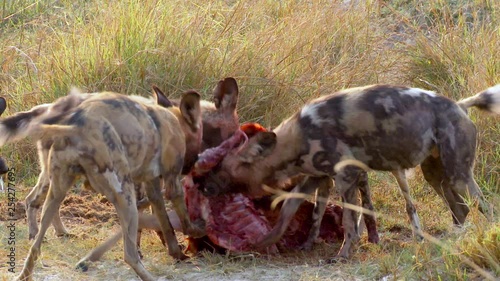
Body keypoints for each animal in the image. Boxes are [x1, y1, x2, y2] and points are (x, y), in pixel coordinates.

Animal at [0, 90, 205, 280]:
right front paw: (194, 232)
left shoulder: (152, 185)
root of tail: (76, 127)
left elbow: (163, 222)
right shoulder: (171, 182)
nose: (196, 162)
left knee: (36, 239)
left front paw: (176, 251)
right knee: (129, 255)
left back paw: (26, 272)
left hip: (57, 190)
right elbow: (180, 218)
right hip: (125, 197)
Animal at [201, 83, 498, 260]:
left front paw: (343, 254)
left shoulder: (346, 177)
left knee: (485, 207)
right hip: (436, 176)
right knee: (461, 210)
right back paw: (453, 240)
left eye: (223, 167)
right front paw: (268, 243)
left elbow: (348, 222)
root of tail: (459, 105)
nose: (203, 185)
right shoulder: (316, 179)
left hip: (459, 177)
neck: (296, 140)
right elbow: (295, 214)